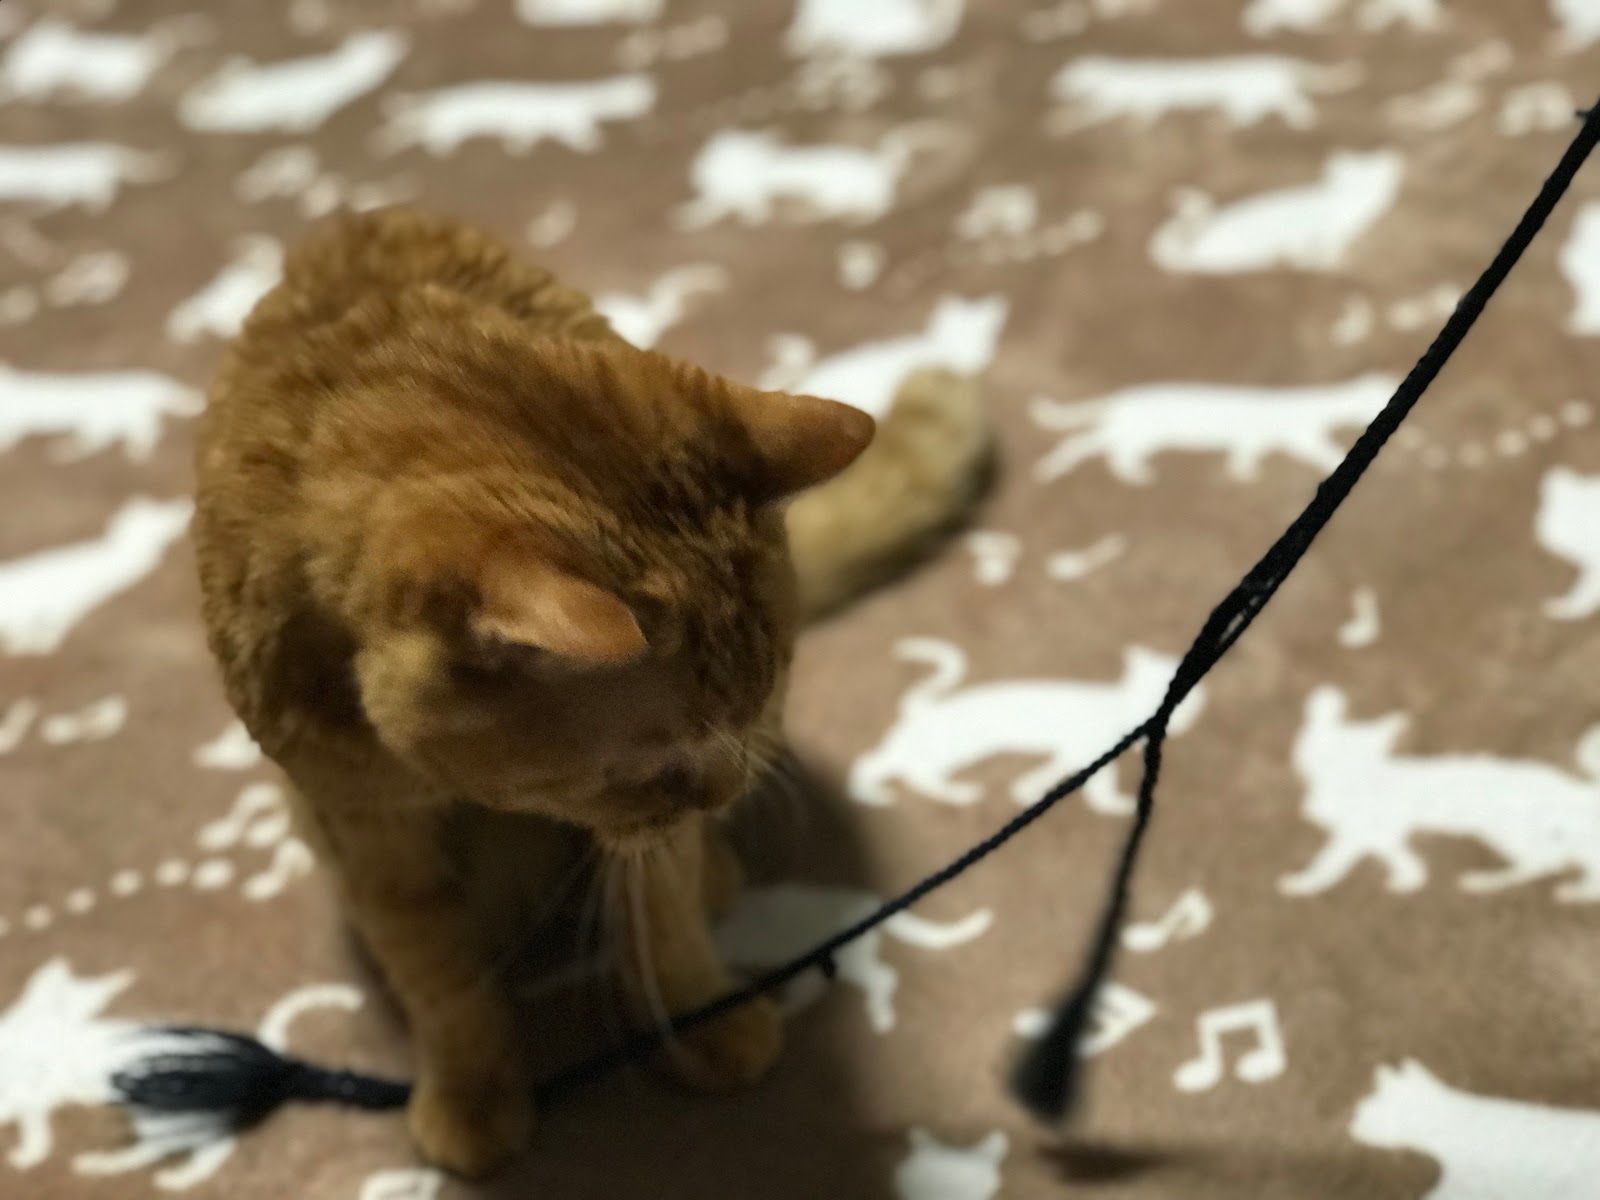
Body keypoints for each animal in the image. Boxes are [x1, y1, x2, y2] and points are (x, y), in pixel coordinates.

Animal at [190, 206, 992, 1178]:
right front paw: (472, 1091)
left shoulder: (659, 834)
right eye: (653, 762)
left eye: (752, 707)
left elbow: (664, 922)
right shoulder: (364, 829)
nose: (723, 792)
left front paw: (703, 1023)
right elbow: (437, 976)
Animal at [849, 639, 1206, 812]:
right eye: (1165, 685)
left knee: (879, 762)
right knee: (911, 773)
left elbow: (1070, 780)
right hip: (948, 751)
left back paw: (870, 795)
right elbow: (1093, 788)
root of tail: (921, 707)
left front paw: (1029, 790)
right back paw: (955, 793)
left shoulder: (1075, 755)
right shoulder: (1081, 751)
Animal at [1280, 685, 1600, 900]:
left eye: (1360, 759)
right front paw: (1410, 877)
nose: (1346, 776)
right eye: (1327, 755)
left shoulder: (1361, 832)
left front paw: (1304, 883)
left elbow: (1328, 862)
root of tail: (1577, 786)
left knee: (1549, 862)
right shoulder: (1381, 833)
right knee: (1566, 860)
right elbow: (1399, 855)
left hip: (1514, 833)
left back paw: (1493, 882)